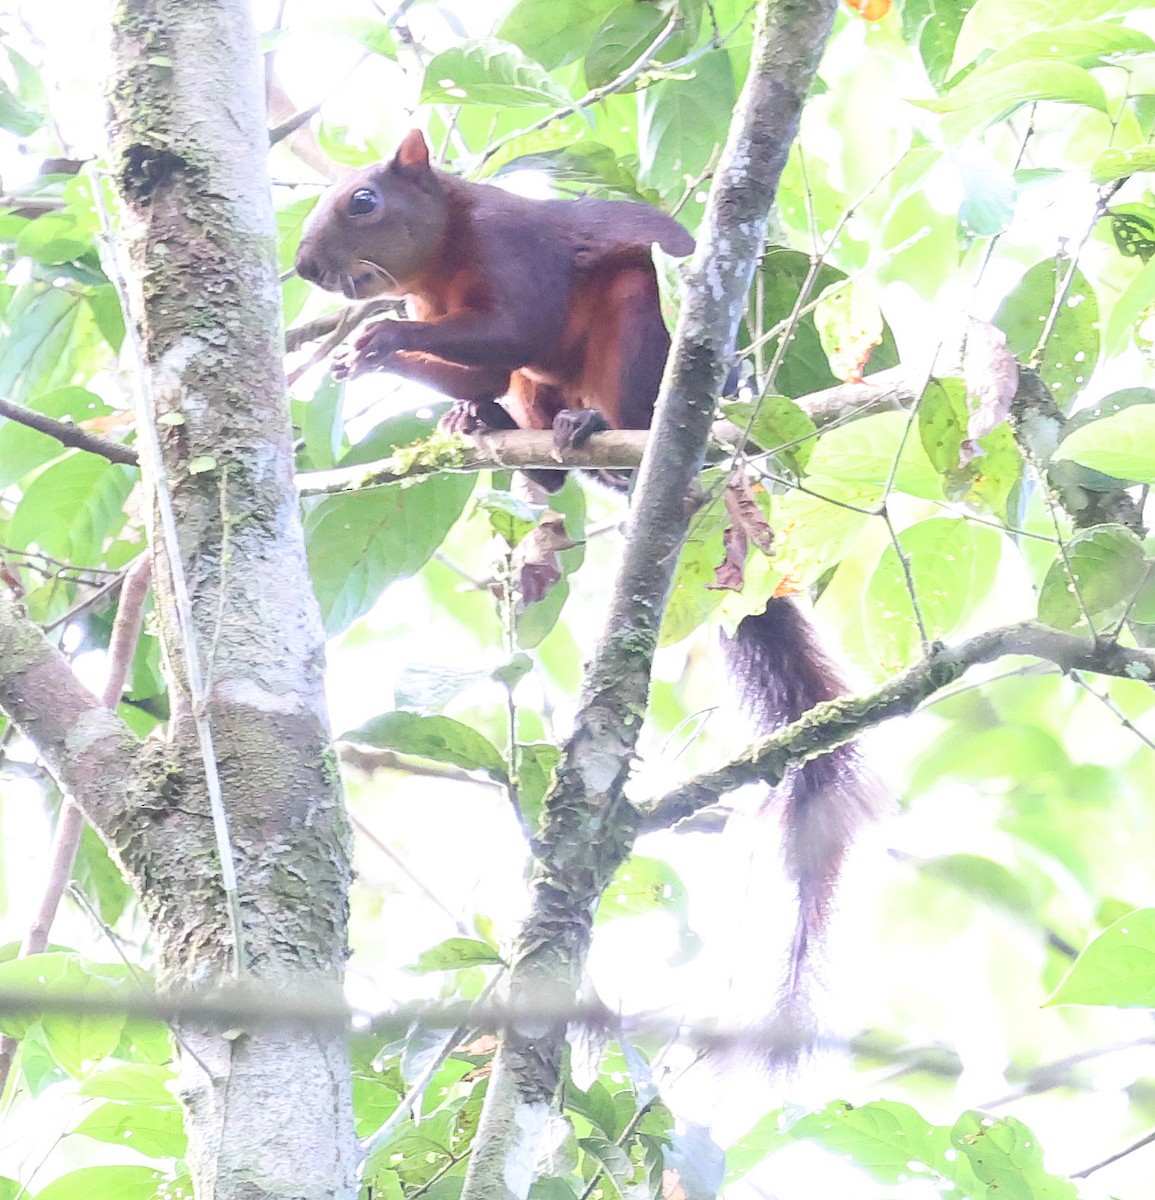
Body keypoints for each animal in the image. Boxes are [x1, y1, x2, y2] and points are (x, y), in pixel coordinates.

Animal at [295, 130, 879, 1055]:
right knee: (520, 408)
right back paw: (503, 434)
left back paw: (595, 429)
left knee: (619, 390)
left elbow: (515, 325)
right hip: (543, 386)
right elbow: (484, 362)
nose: (306, 266)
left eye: (363, 201)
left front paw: (379, 340)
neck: (444, 252)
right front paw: (387, 364)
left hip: (638, 321)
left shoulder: (515, 251)